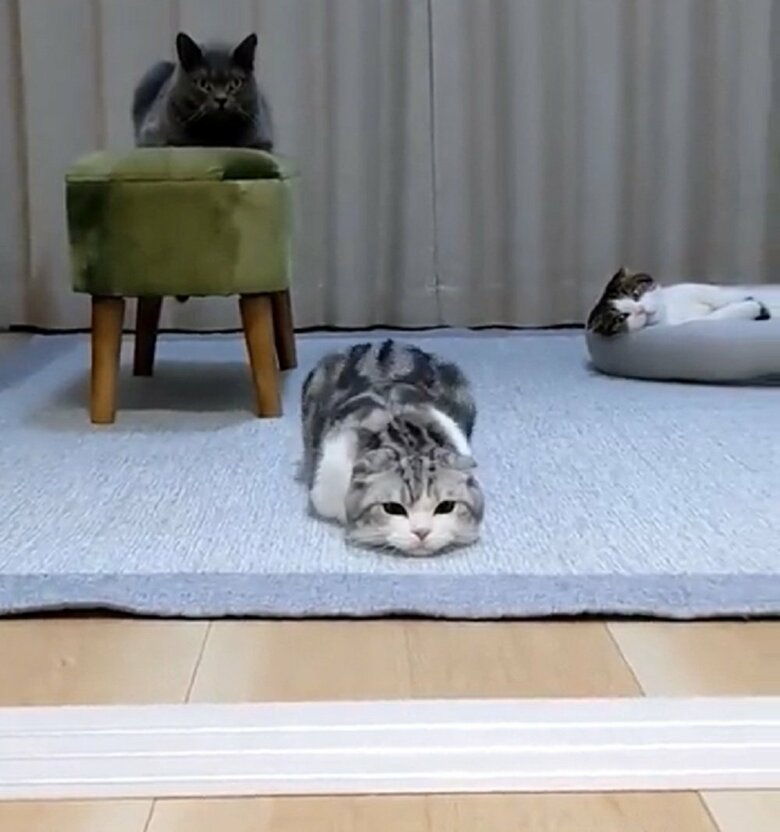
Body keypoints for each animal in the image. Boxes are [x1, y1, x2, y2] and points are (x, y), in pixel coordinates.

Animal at [587, 267, 774, 337]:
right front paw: (755, 306)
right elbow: (718, 316)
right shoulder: (684, 324)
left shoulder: (694, 289)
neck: (670, 309)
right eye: (622, 318)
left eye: (636, 294)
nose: (642, 309)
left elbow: (718, 294)